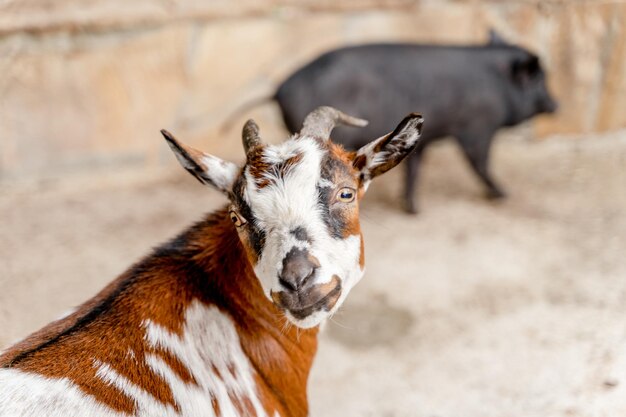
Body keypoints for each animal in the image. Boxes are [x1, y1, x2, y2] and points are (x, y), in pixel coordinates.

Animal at [272, 32, 556, 213]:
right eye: (537, 79)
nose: (557, 104)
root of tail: (280, 88)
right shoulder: (477, 128)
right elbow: (480, 162)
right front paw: (503, 194)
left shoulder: (423, 139)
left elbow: (414, 169)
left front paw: (413, 209)